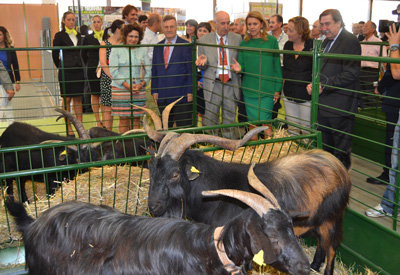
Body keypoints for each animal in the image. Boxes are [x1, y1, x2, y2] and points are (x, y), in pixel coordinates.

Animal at [137, 102, 350, 275]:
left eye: (174, 174)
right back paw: (314, 265)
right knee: (321, 244)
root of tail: (338, 166)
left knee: (331, 248)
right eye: (152, 168)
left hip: (331, 219)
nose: (153, 207)